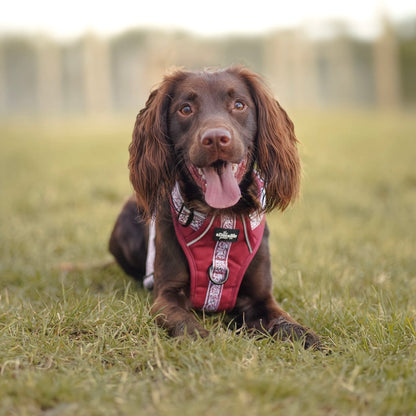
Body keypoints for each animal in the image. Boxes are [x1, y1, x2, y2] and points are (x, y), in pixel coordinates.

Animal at [109, 66, 320, 348]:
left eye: (239, 105)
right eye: (185, 109)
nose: (217, 138)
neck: (220, 218)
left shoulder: (260, 298)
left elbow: (285, 322)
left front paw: (310, 339)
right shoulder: (167, 295)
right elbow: (184, 323)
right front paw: (203, 342)